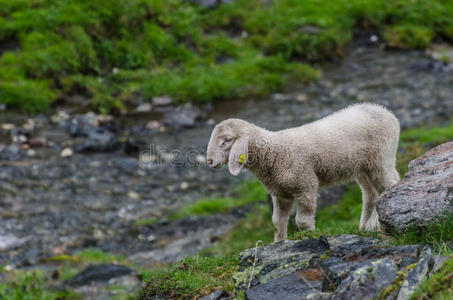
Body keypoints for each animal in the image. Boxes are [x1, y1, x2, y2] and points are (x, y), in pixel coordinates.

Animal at [205, 103, 400, 241]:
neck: (274, 153)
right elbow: (277, 222)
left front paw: (311, 237)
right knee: (371, 193)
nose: (210, 161)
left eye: (227, 140)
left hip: (381, 159)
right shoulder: (281, 194)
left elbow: (302, 221)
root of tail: (387, 112)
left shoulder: (305, 185)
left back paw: (375, 224)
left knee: (388, 187)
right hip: (364, 168)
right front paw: (279, 242)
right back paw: (365, 225)